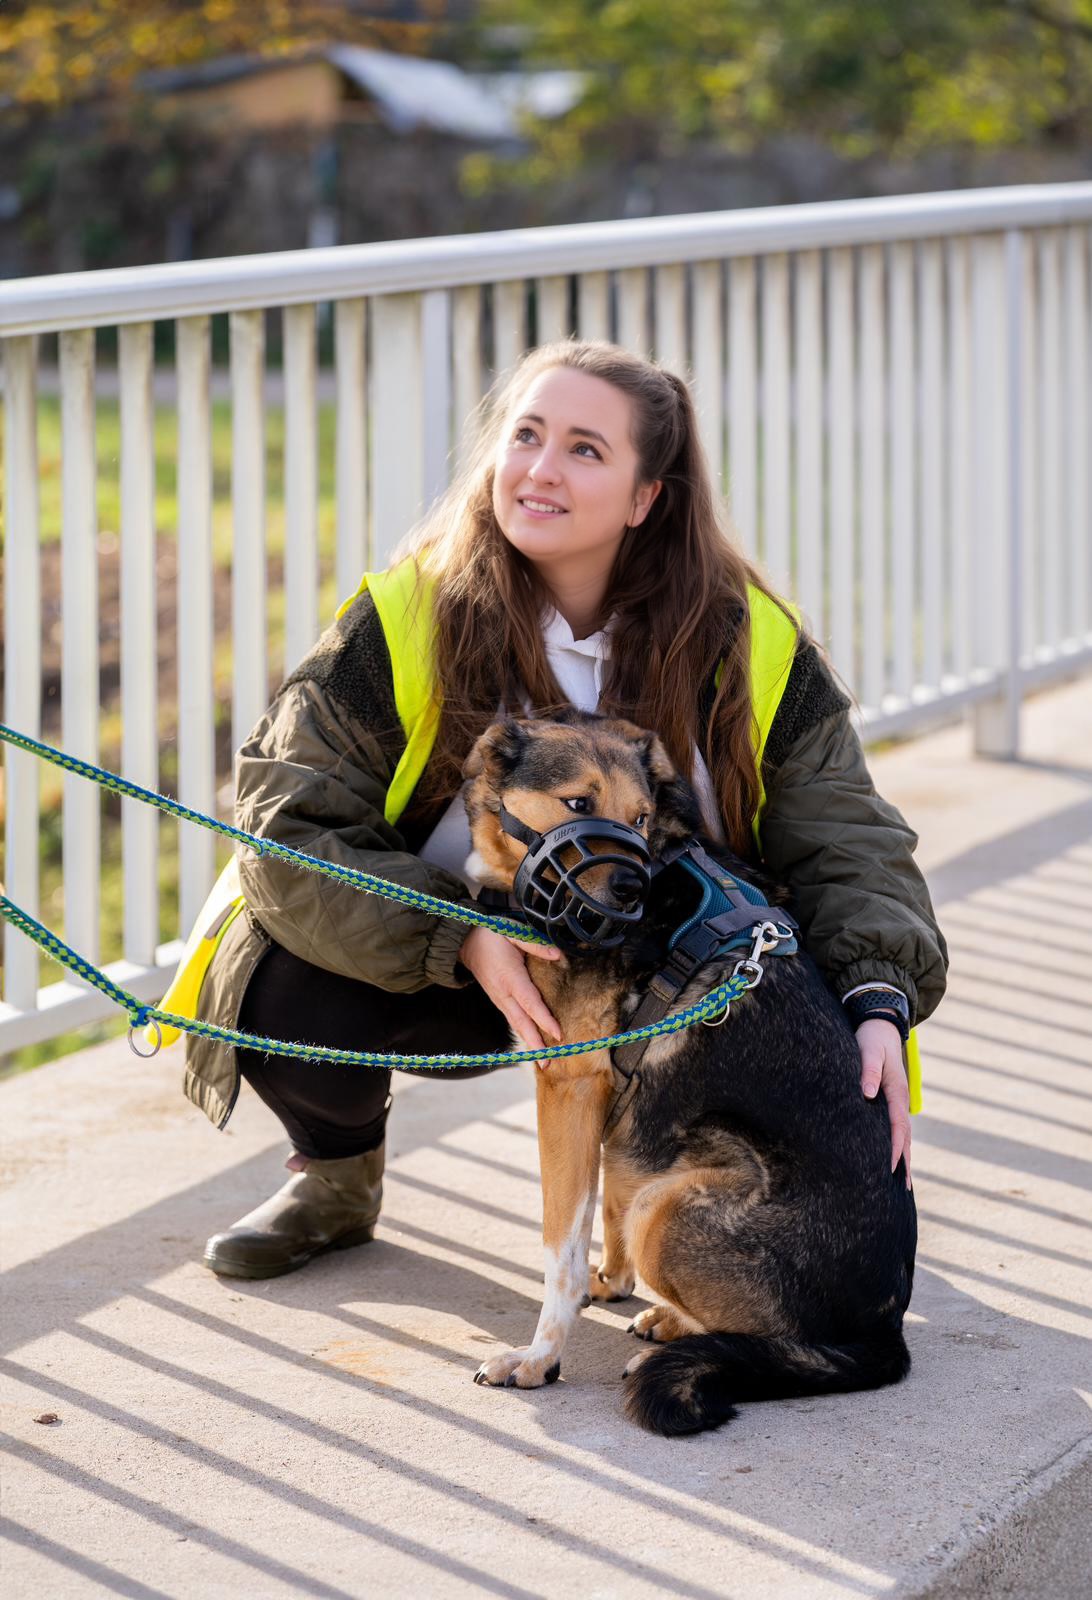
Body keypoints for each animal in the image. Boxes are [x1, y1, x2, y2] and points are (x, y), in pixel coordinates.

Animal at [454, 713, 915, 1440]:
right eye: (578, 803)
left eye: (639, 817)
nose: (632, 894)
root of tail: (883, 1331)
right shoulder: (608, 1100)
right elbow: (605, 1195)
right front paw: (610, 1280)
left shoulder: (568, 1086)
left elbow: (561, 1244)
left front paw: (539, 1357)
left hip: (669, 1205)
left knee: (773, 1340)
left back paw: (691, 1337)